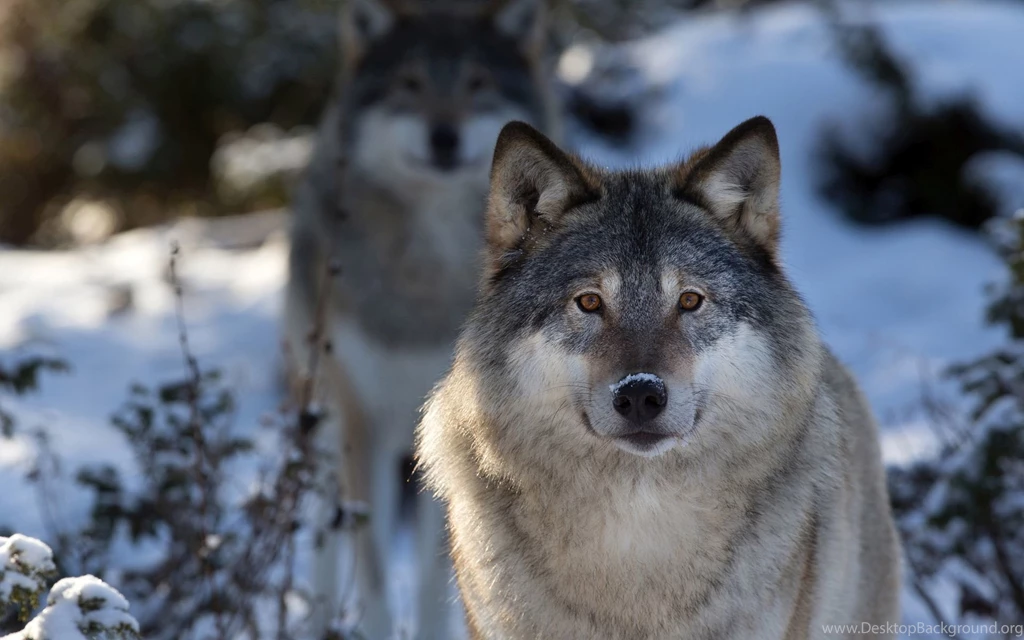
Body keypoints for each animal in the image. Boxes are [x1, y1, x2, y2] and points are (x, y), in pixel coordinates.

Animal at [282, 0, 560, 637]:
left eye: (477, 83)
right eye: (408, 85)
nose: (444, 135)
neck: (425, 278)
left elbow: (440, 575)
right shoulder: (361, 421)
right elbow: (374, 571)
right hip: (324, 418)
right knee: (326, 534)